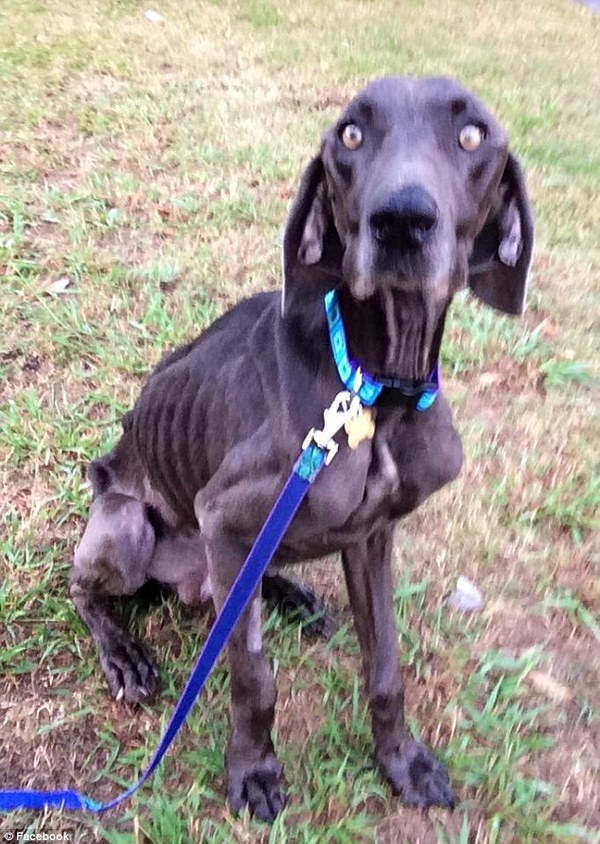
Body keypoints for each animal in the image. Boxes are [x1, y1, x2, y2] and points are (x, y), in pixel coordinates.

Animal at [70, 76, 536, 820]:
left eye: (473, 136)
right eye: (350, 133)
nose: (401, 221)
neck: (376, 394)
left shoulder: (373, 535)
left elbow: (385, 666)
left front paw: (402, 762)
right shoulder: (222, 513)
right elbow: (254, 677)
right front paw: (254, 770)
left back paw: (287, 591)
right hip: (129, 524)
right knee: (82, 588)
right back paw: (124, 654)